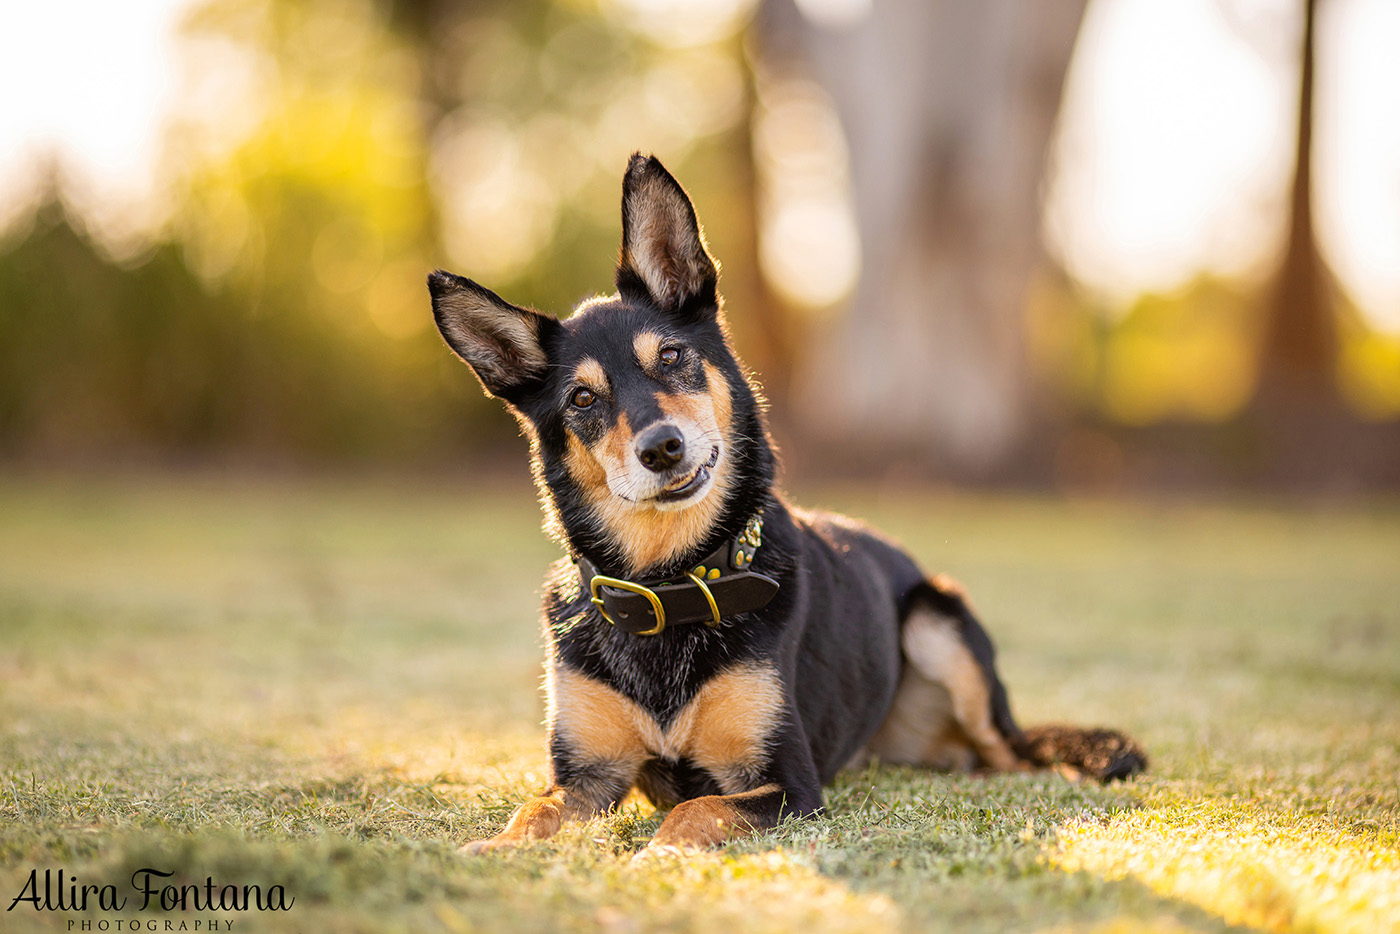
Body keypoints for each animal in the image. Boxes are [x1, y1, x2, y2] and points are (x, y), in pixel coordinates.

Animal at [428, 156, 1148, 856]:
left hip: (938, 621)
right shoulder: (584, 777)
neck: (671, 584)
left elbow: (694, 809)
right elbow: (533, 810)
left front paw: (656, 858)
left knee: (1013, 758)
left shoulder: (788, 784)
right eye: (582, 399)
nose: (662, 447)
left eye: (672, 355)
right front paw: (493, 850)